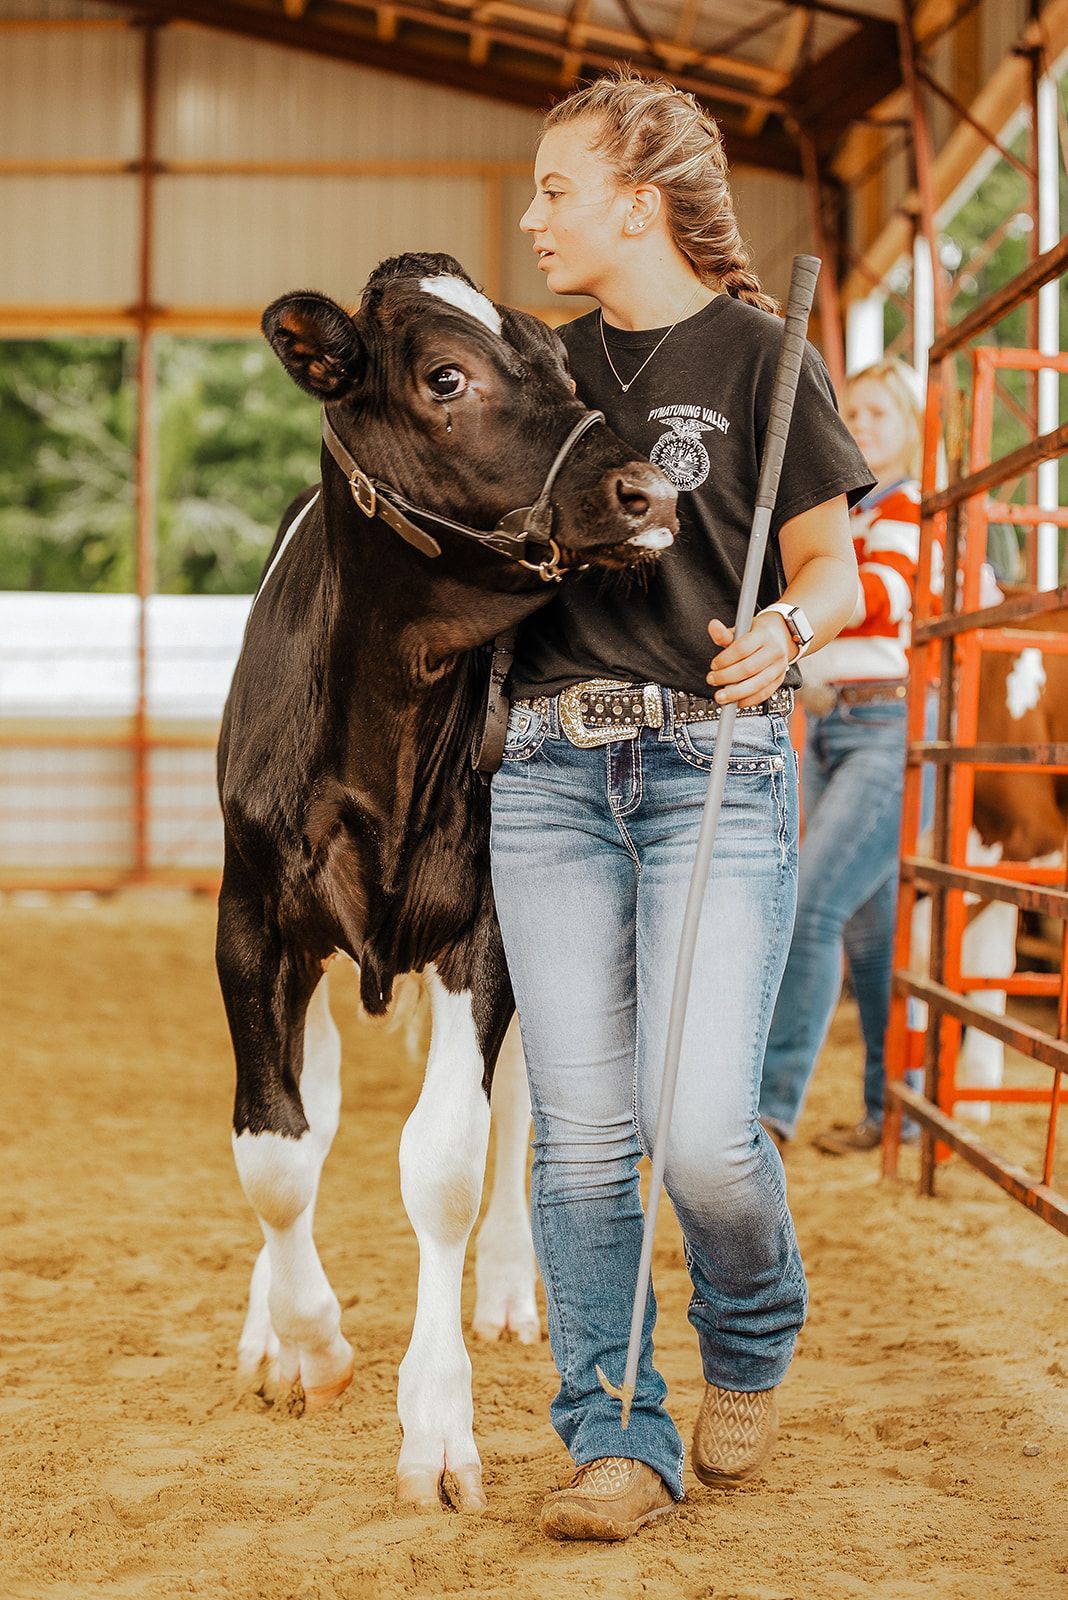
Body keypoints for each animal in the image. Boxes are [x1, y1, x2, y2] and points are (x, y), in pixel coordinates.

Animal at [215, 252, 677, 1514]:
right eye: (445, 376)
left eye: (563, 361)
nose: (649, 492)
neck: (386, 725)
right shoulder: (251, 920)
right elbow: (276, 1147)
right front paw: (308, 1343)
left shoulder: (489, 928)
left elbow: (448, 1162)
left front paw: (436, 1429)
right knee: (315, 1099)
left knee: (513, 1104)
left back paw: (510, 1289)